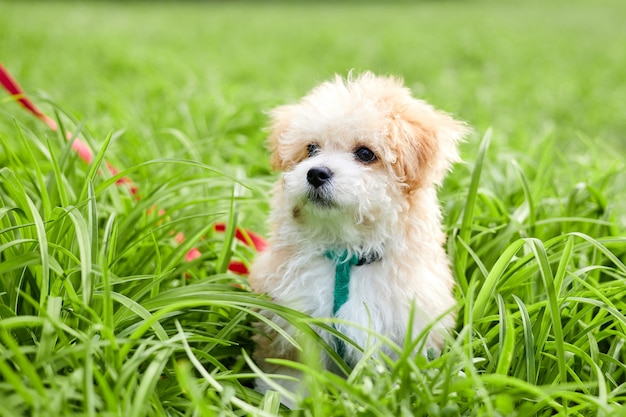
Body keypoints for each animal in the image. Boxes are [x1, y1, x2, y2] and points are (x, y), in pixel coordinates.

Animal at [249, 72, 468, 396]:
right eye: (311, 149)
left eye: (365, 153)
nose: (315, 173)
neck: (348, 259)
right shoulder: (291, 318)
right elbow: (292, 370)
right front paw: (286, 397)